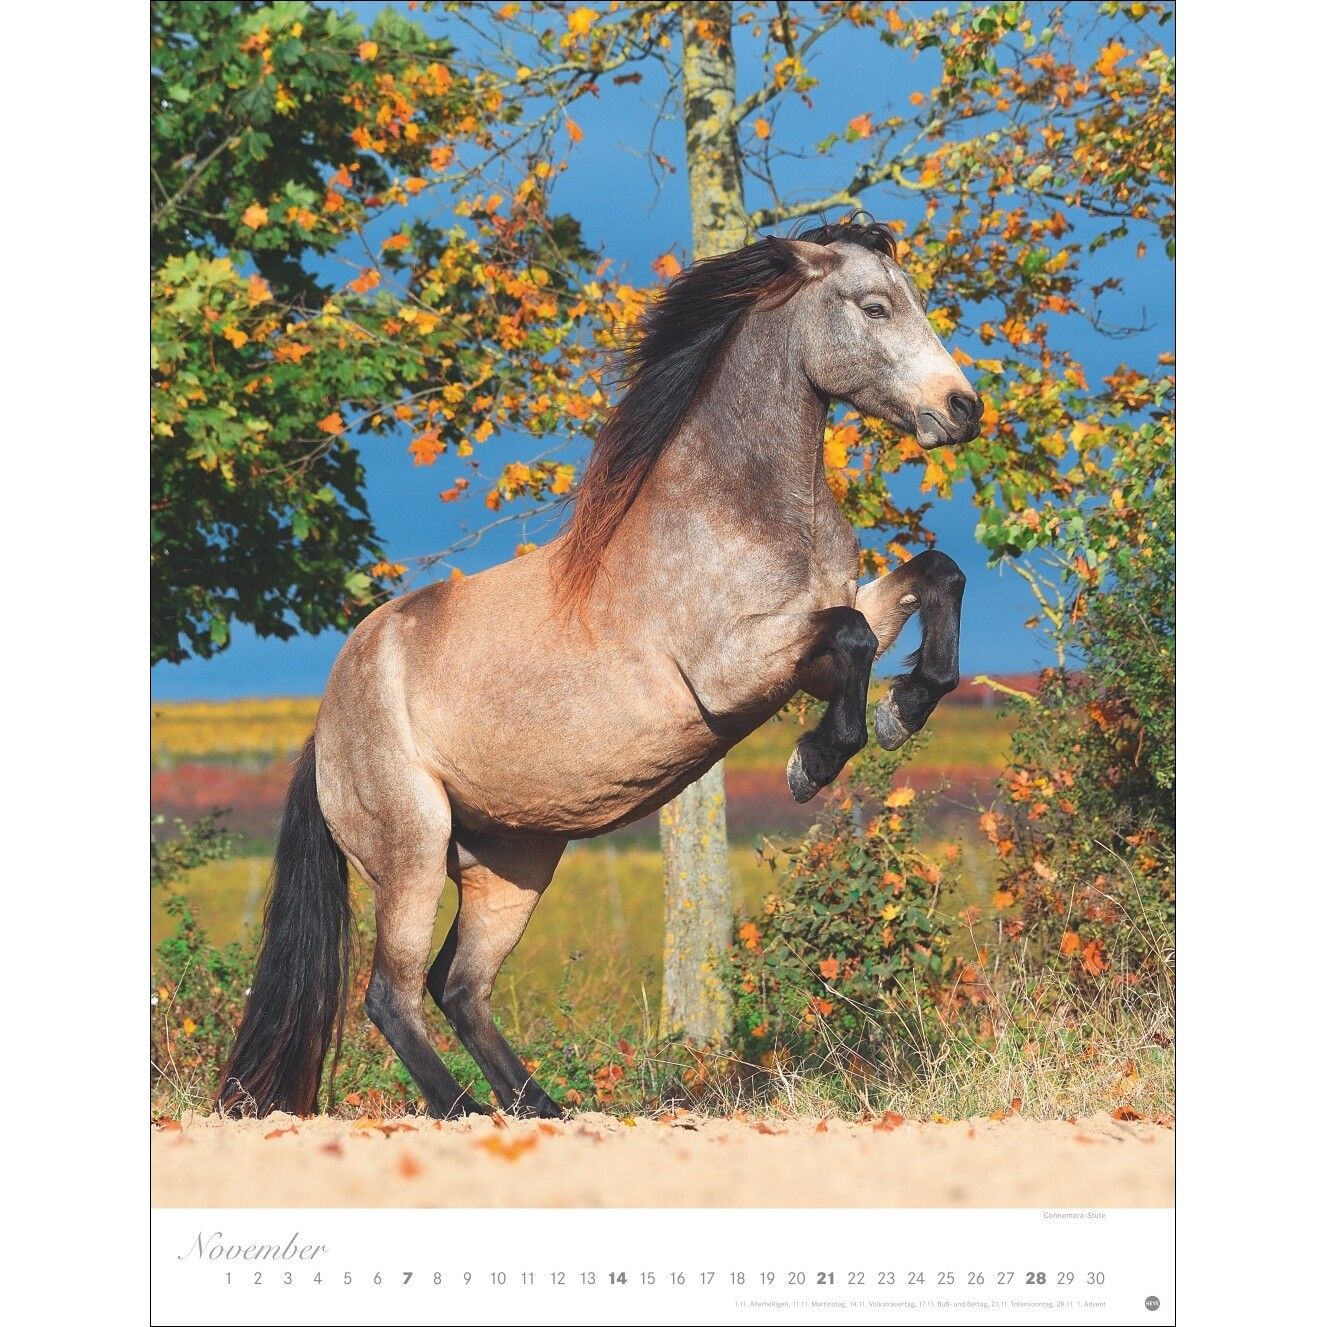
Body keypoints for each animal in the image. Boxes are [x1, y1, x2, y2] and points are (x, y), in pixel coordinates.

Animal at [216, 219, 980, 1121]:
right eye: (874, 305)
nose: (962, 407)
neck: (734, 512)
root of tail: (323, 730)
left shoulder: (805, 660)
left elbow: (932, 577)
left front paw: (906, 705)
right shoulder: (734, 668)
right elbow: (857, 634)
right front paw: (816, 761)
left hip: (512, 865)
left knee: (459, 987)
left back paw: (542, 1106)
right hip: (412, 854)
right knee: (391, 995)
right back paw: (464, 1110)